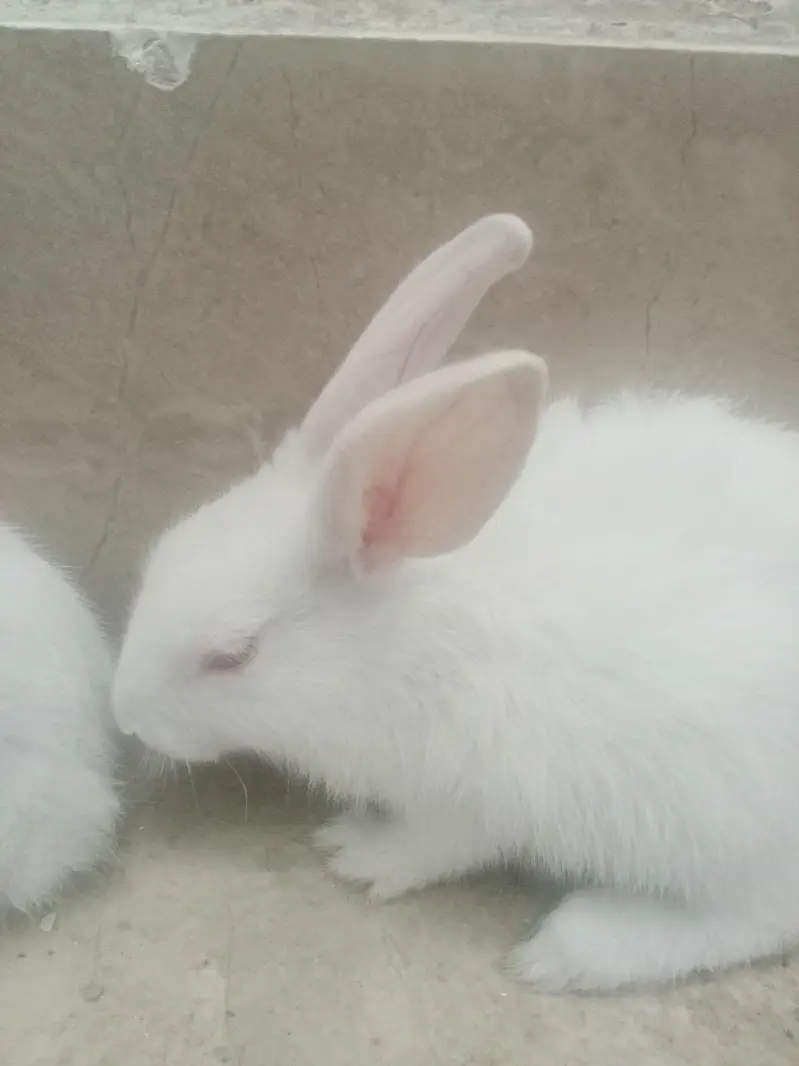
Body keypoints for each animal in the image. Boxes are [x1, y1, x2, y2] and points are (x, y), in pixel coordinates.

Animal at [112, 213, 799, 992]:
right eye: (162, 553)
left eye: (232, 656)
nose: (125, 716)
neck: (393, 644)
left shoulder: (472, 797)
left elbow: (436, 846)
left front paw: (356, 853)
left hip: (729, 825)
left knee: (760, 916)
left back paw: (575, 947)